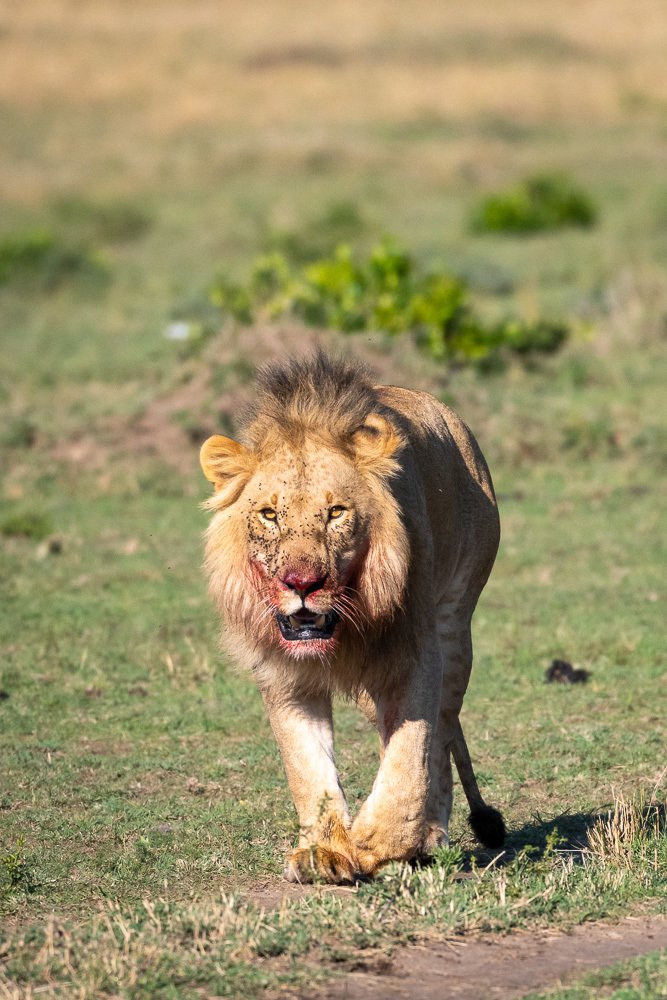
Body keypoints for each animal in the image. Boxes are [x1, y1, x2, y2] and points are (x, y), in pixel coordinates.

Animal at [200, 352, 505, 883]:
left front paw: (381, 843)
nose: (302, 583)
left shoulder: (416, 655)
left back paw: (430, 836)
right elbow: (308, 769)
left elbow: (410, 757)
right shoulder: (285, 678)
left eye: (337, 512)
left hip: (455, 626)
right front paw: (323, 851)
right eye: (269, 515)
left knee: (442, 734)